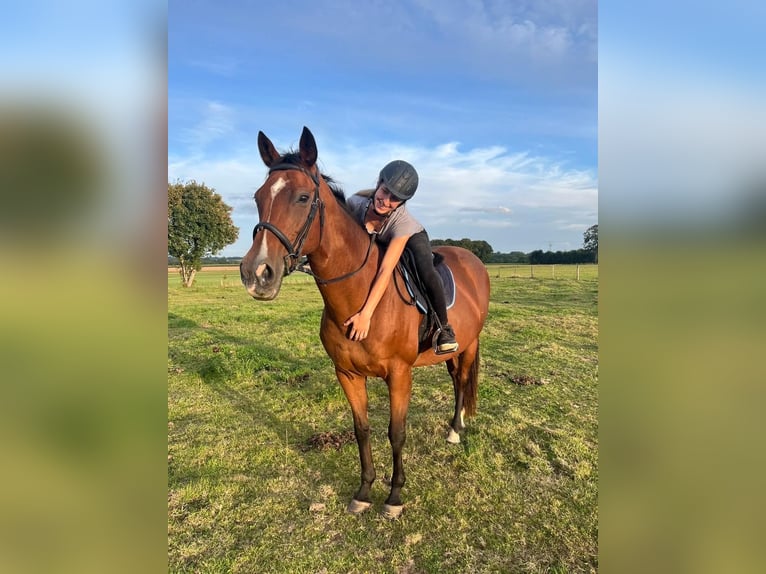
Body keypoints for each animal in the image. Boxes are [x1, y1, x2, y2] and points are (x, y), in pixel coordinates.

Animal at [240, 127, 490, 518]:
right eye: (257, 196)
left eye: (303, 197)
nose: (256, 274)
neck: (360, 300)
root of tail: (472, 258)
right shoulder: (347, 374)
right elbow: (362, 429)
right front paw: (364, 491)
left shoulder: (400, 374)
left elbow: (396, 432)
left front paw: (394, 496)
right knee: (455, 379)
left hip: (468, 344)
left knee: (462, 380)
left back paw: (454, 430)